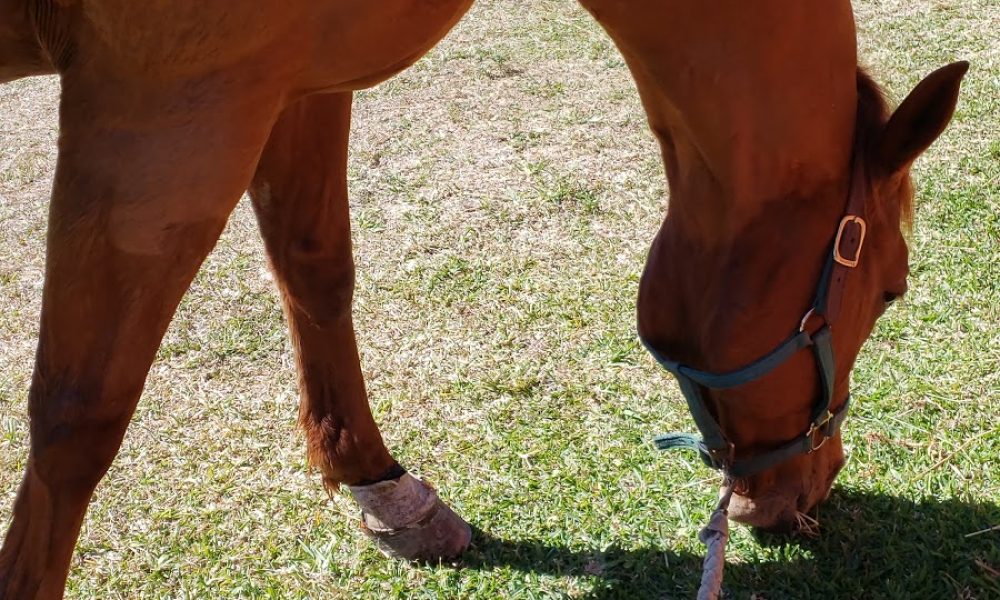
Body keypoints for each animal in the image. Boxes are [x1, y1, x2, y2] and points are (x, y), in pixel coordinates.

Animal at [0, 0, 968, 596]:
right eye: (891, 290)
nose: (816, 484)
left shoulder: (297, 80)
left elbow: (317, 268)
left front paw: (377, 483)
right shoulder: (166, 109)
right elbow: (78, 419)